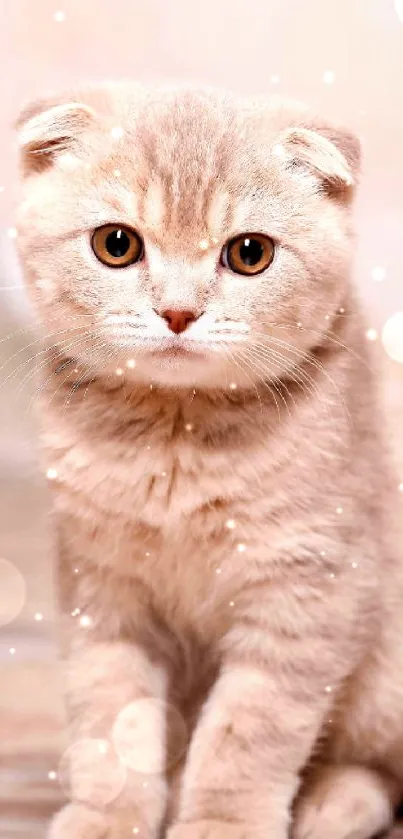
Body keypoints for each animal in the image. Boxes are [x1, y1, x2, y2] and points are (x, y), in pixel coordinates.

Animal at [14, 83, 402, 839]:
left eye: (249, 253)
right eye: (116, 244)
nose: (177, 312)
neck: (176, 439)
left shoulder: (307, 593)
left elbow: (247, 734)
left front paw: (223, 823)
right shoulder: (101, 589)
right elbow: (111, 710)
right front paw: (108, 812)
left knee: (378, 768)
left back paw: (331, 803)